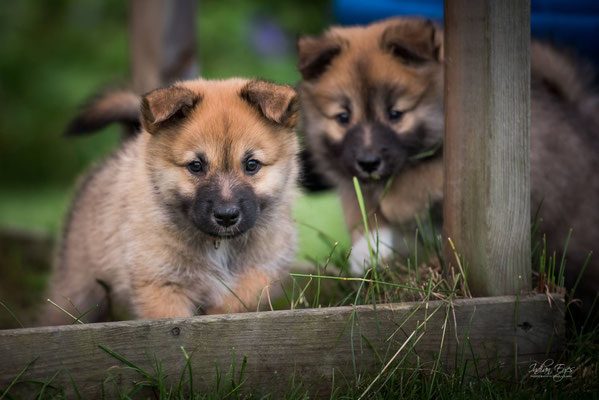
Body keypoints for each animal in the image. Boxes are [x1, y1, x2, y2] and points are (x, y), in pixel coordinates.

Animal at [40, 78, 300, 325]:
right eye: (196, 166)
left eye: (252, 164)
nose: (226, 216)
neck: (218, 245)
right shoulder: (161, 283)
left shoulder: (262, 270)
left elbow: (237, 300)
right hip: (78, 288)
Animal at [297, 17, 599, 318]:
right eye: (343, 117)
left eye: (395, 114)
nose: (368, 162)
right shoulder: (349, 175)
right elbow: (359, 208)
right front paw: (369, 249)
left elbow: (422, 177)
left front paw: (393, 207)